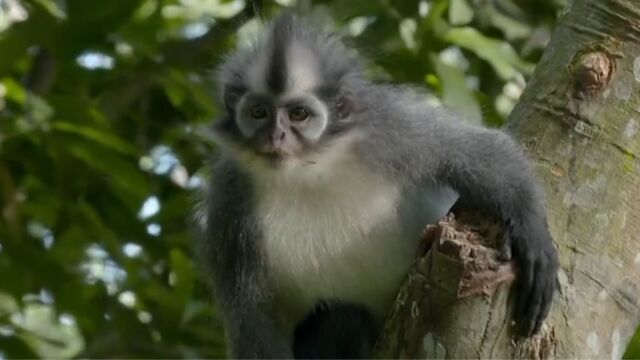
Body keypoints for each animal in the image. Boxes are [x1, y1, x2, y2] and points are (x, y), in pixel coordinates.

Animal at [196, 12, 560, 358]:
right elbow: (251, 321)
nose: (275, 136)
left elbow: (482, 149)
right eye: (259, 112)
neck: (309, 171)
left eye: (298, 114)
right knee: (341, 316)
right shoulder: (230, 204)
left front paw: (532, 235)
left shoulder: (388, 130)